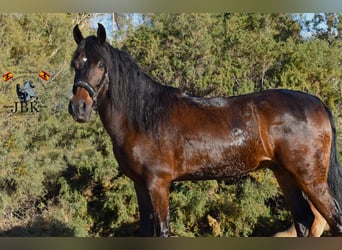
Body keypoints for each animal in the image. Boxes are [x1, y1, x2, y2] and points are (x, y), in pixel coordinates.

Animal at [69, 23, 342, 236]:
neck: (144, 116)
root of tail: (316, 102)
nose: (78, 108)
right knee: (305, 221)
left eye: (101, 64)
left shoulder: (158, 184)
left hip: (310, 178)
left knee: (333, 220)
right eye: (75, 63)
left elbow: (163, 230)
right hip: (284, 174)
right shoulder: (139, 184)